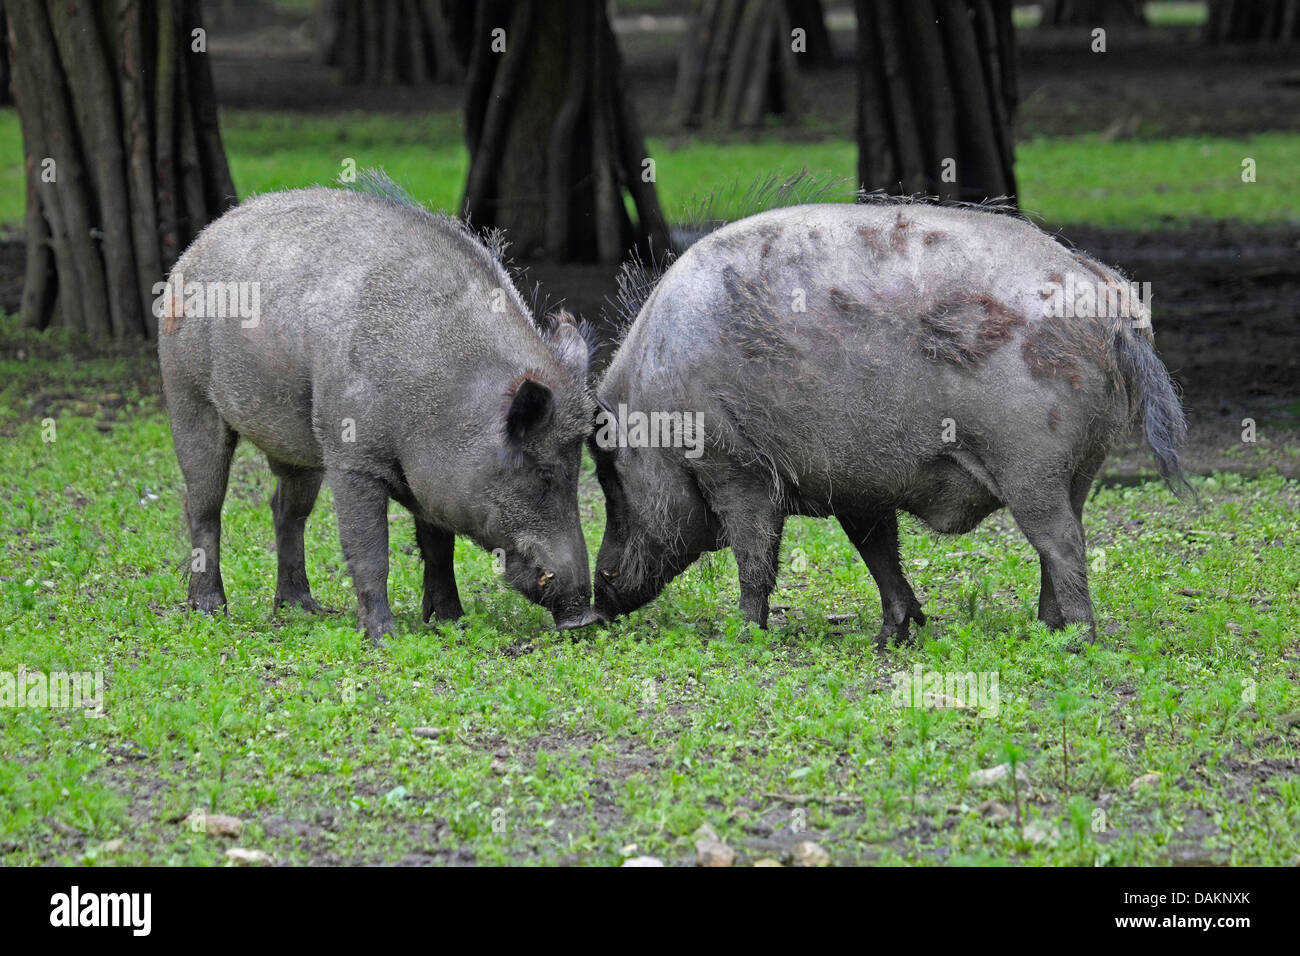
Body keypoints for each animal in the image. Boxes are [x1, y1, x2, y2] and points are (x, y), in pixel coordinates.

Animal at [157, 177, 598, 642]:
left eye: (579, 471)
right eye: (544, 473)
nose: (584, 616)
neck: (443, 398)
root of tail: (197, 245)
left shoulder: (430, 484)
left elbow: (438, 547)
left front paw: (452, 622)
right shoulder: (351, 459)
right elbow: (370, 549)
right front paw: (383, 636)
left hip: (298, 447)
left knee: (286, 511)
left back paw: (303, 608)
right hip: (188, 397)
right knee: (203, 507)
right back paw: (210, 609)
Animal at [590, 199, 1188, 646]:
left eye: (610, 476)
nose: (599, 596)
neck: (659, 403)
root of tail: (1114, 300)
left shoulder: (735, 468)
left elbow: (755, 554)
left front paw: (742, 637)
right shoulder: (856, 484)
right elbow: (876, 550)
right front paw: (891, 637)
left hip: (1031, 462)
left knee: (1062, 542)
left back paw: (1075, 642)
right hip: (1081, 464)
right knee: (1067, 537)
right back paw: (1044, 630)